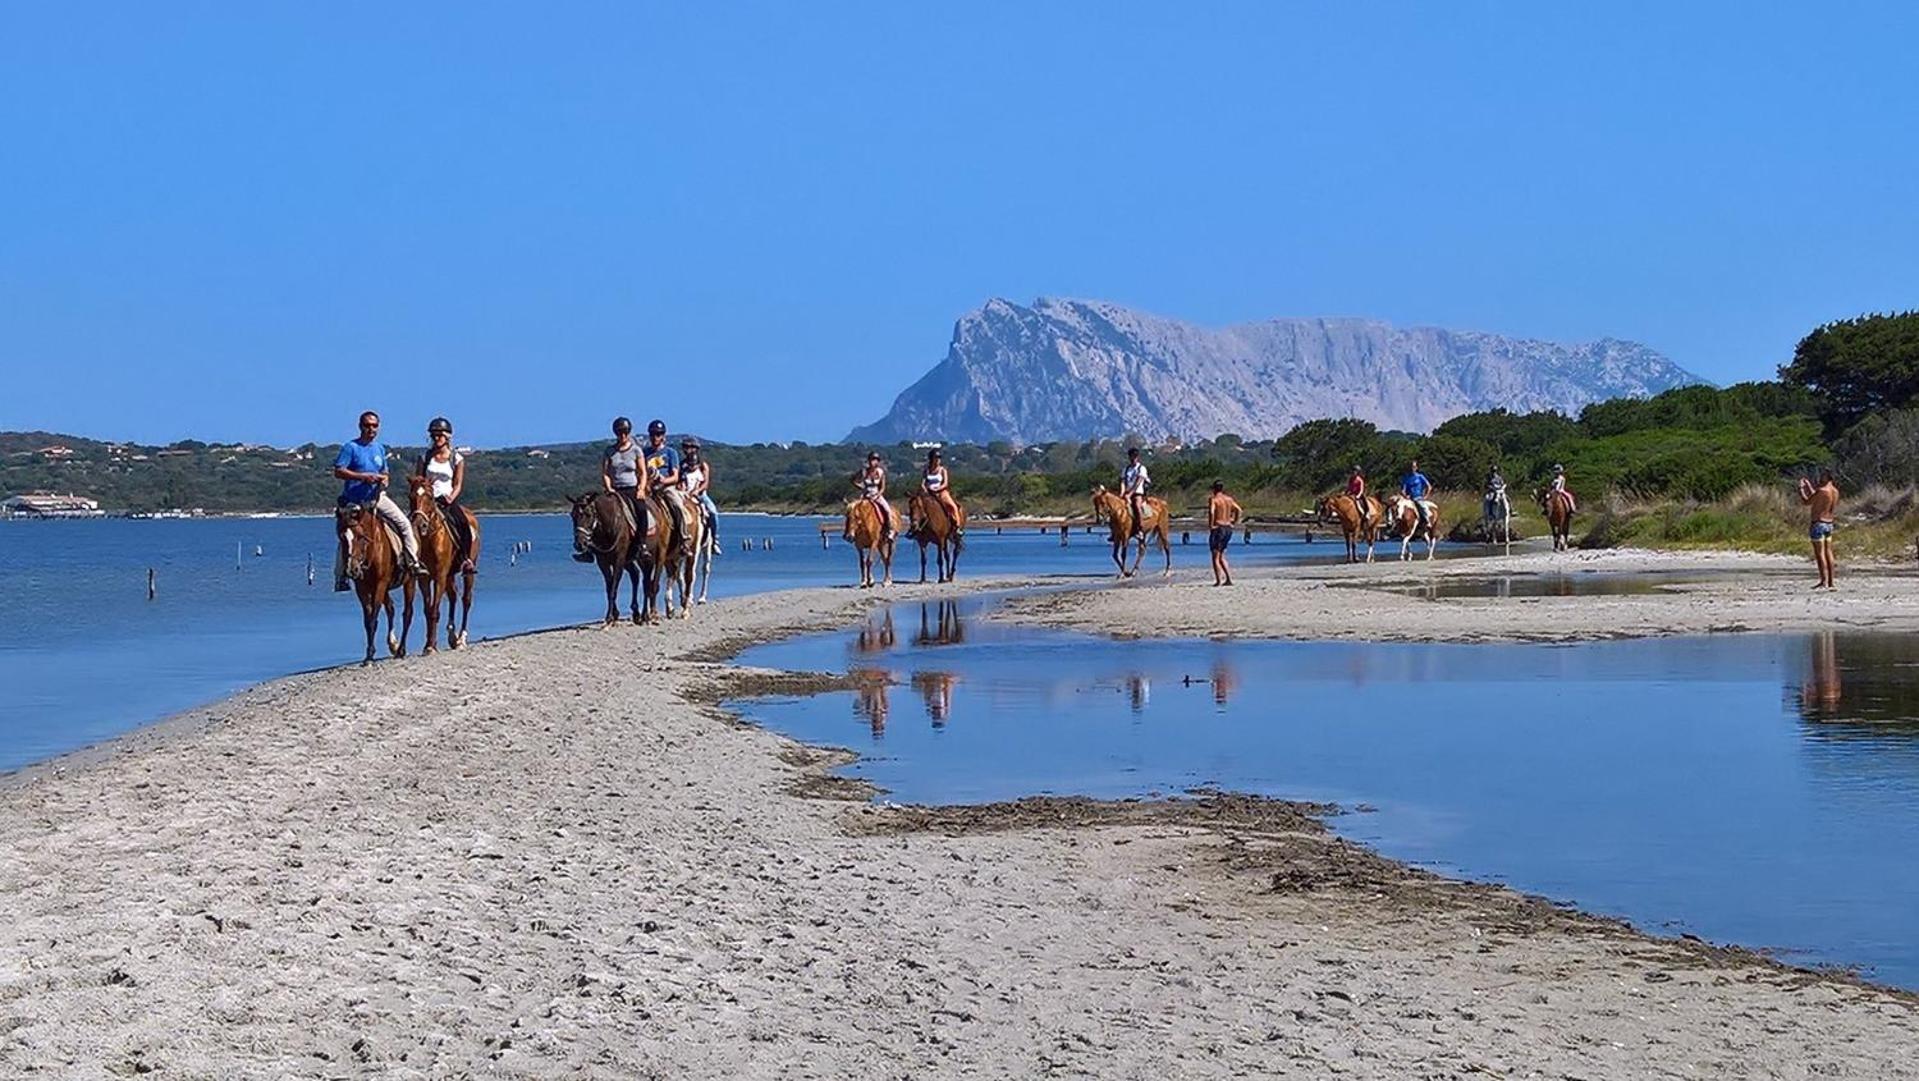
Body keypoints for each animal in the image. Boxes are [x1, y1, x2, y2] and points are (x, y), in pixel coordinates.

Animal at [335, 503, 414, 664]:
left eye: (361, 537)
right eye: (342, 537)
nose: (352, 569)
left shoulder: (380, 584)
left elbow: (373, 619)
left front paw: (370, 655)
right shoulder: (362, 589)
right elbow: (368, 620)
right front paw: (369, 655)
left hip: (409, 582)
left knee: (407, 614)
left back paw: (401, 650)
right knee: (391, 609)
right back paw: (393, 644)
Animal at [402, 480, 477, 652]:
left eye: (430, 497)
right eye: (410, 496)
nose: (419, 524)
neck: (430, 538)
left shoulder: (439, 576)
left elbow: (435, 610)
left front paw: (431, 647)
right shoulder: (424, 578)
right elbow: (428, 610)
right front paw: (429, 644)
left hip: (468, 570)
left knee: (466, 599)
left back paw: (462, 638)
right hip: (449, 574)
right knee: (453, 596)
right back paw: (452, 636)